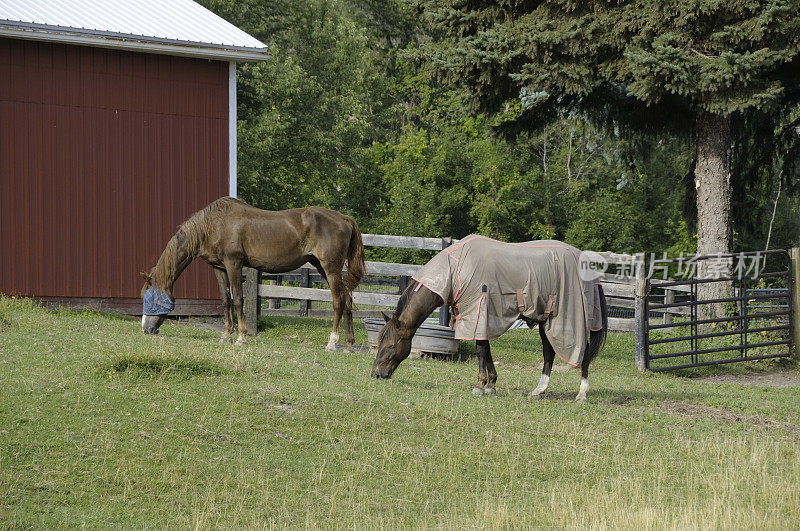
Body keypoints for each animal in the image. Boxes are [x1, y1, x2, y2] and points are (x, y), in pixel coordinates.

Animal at [142, 195, 368, 350]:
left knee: (338, 301)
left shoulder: (233, 264)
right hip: (322, 267)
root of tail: (343, 218)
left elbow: (238, 299)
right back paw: (349, 344)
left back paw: (332, 342)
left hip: (330, 268)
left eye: (152, 300)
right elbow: (225, 300)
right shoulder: (218, 268)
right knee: (347, 298)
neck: (215, 224)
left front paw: (241, 337)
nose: (145, 329)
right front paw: (226, 335)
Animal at [372, 236, 608, 404]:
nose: (376, 374)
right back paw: (539, 390)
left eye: (391, 345)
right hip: (546, 320)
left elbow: (480, 350)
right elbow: (485, 349)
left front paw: (481, 385)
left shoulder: (478, 310)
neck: (456, 270)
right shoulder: (481, 316)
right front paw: (491, 384)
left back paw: (581, 393)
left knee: (583, 351)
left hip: (571, 320)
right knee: (549, 352)